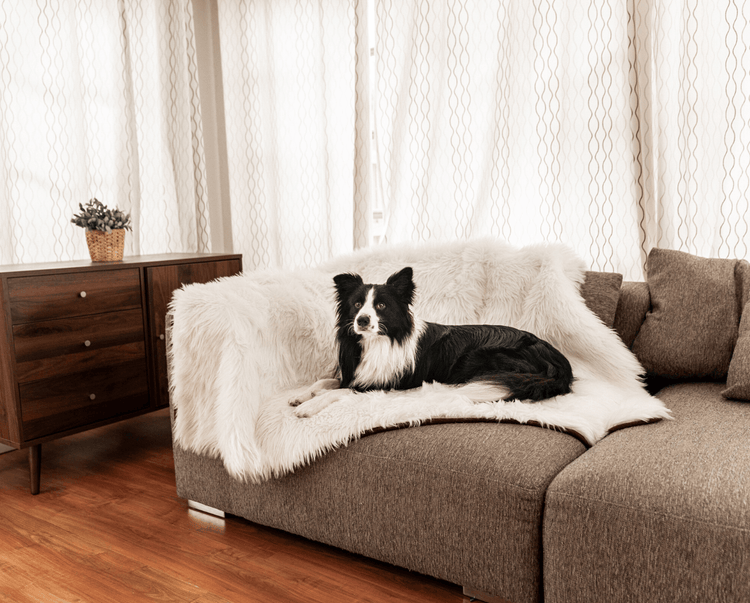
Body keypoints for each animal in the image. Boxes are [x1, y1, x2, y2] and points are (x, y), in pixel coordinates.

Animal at [290, 268, 572, 420]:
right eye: (357, 304)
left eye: (381, 305)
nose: (362, 320)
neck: (379, 341)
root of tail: (558, 359)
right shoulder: (353, 374)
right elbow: (325, 382)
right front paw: (301, 396)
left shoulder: (385, 384)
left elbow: (339, 392)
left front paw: (309, 407)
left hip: (481, 357)